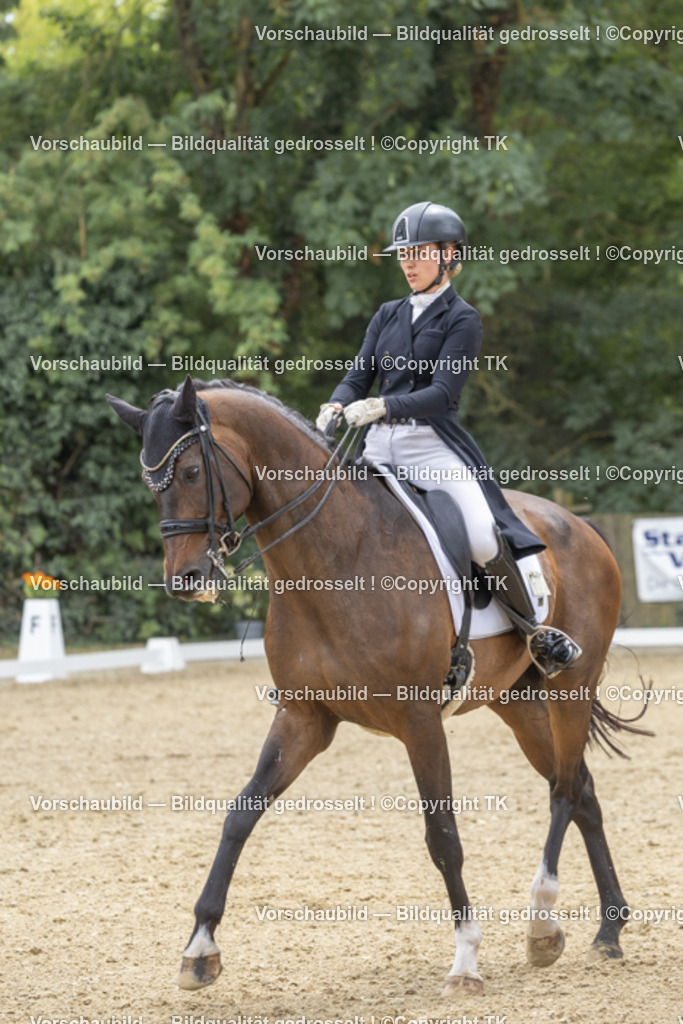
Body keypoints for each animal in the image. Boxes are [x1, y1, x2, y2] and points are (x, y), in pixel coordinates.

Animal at [107, 375, 647, 998]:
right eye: (150, 484)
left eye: (193, 472)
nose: (186, 581)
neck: (336, 556)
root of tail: (579, 525)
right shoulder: (304, 717)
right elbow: (241, 813)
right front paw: (200, 950)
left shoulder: (419, 722)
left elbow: (443, 836)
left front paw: (466, 961)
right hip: (519, 702)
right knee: (580, 787)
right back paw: (607, 931)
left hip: (570, 686)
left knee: (562, 790)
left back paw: (541, 923)